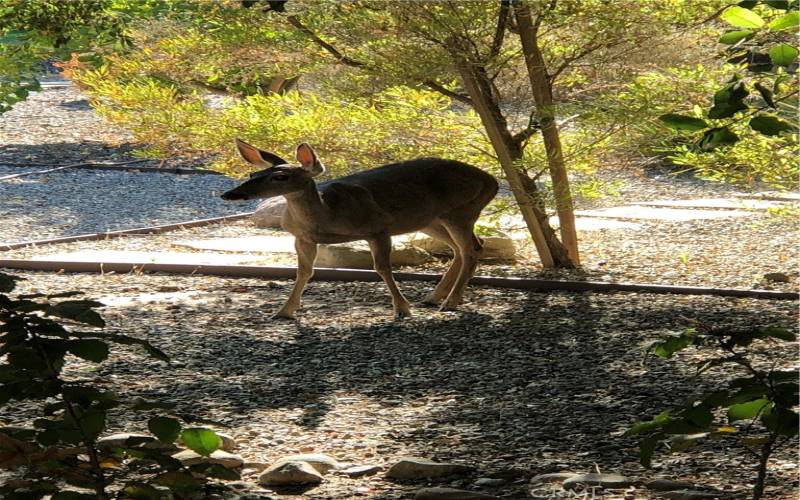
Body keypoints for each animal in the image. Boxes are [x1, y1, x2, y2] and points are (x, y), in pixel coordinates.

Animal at [222, 139, 496, 318]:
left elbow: (383, 268)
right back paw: (434, 297)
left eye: (280, 177)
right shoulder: (302, 237)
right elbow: (304, 272)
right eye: (252, 174)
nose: (230, 194)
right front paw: (285, 311)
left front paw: (402, 309)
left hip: (461, 209)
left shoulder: (379, 227)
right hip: (430, 220)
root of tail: (491, 181)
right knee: (464, 248)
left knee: (472, 249)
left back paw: (450, 302)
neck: (327, 213)